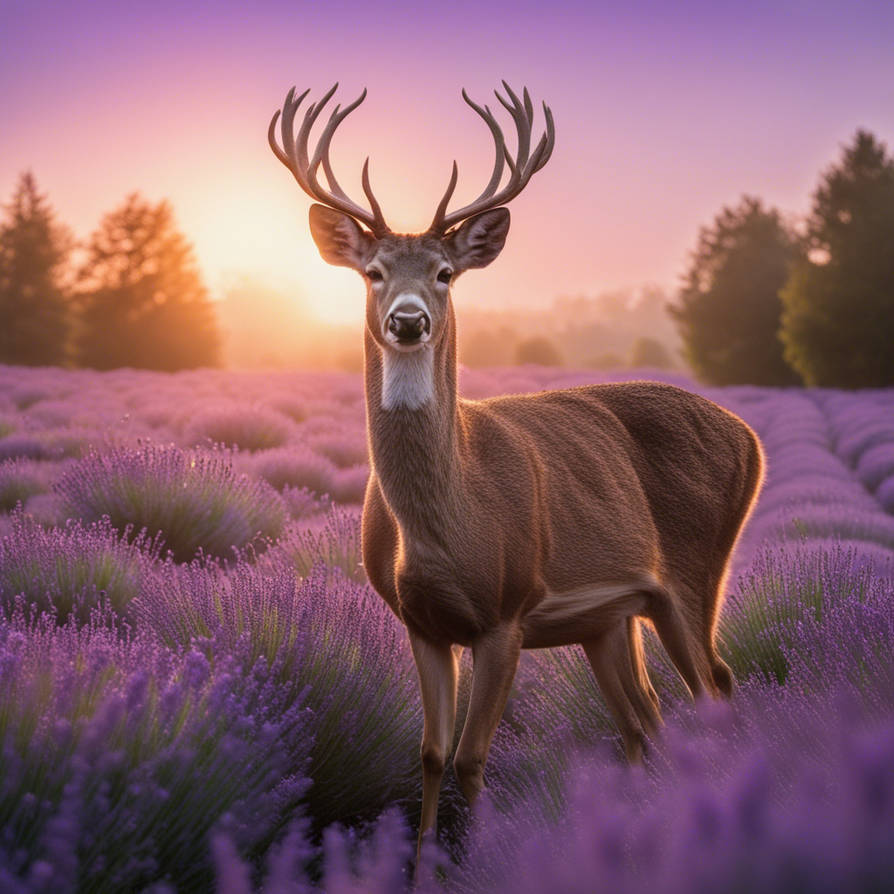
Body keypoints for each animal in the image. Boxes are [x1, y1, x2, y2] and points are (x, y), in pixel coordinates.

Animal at [268, 82, 765, 860]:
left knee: (714, 685)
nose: (408, 320)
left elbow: (473, 758)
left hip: (692, 570)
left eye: (445, 274)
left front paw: (487, 858)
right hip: (610, 616)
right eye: (373, 273)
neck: (447, 524)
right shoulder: (421, 622)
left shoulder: (506, 611)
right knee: (645, 717)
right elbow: (430, 754)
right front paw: (420, 866)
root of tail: (751, 438)